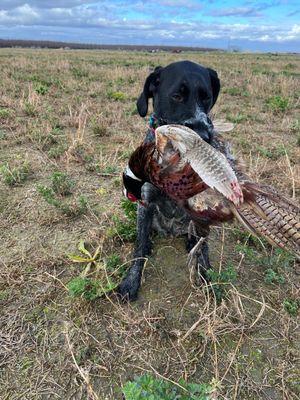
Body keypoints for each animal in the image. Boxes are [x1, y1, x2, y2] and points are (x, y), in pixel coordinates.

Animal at [117, 60, 220, 300]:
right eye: (177, 96)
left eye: (206, 97)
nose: (205, 136)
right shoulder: (145, 202)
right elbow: (138, 247)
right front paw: (131, 281)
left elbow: (204, 248)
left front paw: (207, 275)